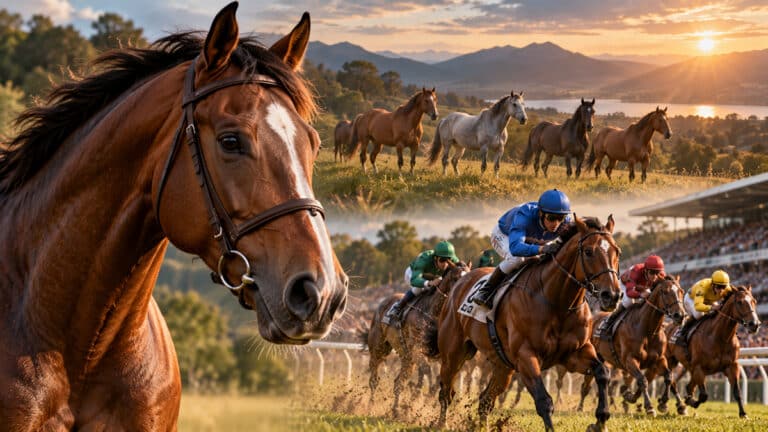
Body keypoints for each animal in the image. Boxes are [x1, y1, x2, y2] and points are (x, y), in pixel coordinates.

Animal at [366, 260, 470, 416]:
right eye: (456, 278)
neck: (434, 313)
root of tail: (383, 302)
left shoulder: (444, 355)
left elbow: (438, 376)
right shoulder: (417, 349)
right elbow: (427, 370)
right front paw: (418, 396)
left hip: (407, 358)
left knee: (398, 382)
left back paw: (396, 410)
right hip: (379, 348)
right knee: (374, 378)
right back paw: (370, 406)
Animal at [432, 216, 621, 432]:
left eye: (617, 251)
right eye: (588, 252)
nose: (612, 295)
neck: (558, 302)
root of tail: (461, 282)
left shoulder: (575, 353)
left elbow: (602, 373)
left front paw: (600, 420)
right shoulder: (525, 356)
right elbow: (544, 401)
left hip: (503, 366)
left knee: (485, 400)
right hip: (453, 353)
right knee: (446, 391)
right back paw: (442, 424)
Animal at [578, 276, 686, 417]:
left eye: (681, 291)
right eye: (665, 292)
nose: (680, 315)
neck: (648, 330)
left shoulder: (659, 360)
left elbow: (668, 377)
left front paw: (666, 403)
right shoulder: (629, 360)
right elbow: (642, 380)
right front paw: (649, 407)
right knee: (586, 385)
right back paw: (580, 408)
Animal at [665, 285, 760, 418]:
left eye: (754, 301)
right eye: (740, 302)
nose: (754, 324)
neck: (721, 337)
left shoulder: (732, 366)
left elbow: (737, 392)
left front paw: (743, 414)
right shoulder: (699, 368)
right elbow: (704, 395)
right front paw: (691, 402)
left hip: (688, 366)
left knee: (688, 386)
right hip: (670, 360)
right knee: (672, 381)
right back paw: (674, 404)